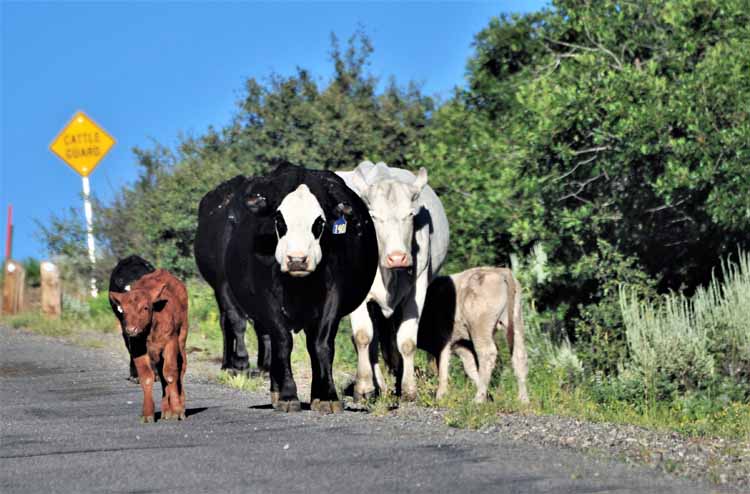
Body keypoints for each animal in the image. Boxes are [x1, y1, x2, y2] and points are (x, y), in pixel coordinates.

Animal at [109, 268, 189, 422]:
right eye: (124, 310)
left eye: (145, 308)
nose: (131, 329)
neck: (150, 330)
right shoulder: (137, 349)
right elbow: (146, 378)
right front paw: (147, 414)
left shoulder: (171, 344)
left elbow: (171, 374)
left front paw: (177, 410)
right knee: (162, 377)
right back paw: (166, 411)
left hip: (181, 341)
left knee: (180, 370)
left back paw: (180, 407)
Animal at [194, 176, 274, 372]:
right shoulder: (224, 286)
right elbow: (237, 321)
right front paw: (241, 359)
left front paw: (267, 362)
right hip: (217, 288)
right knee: (225, 322)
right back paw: (227, 362)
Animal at [338, 162, 450, 402]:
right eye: (373, 216)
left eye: (409, 214)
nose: (397, 257)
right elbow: (363, 336)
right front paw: (364, 388)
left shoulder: (417, 288)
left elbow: (406, 341)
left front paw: (408, 388)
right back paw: (377, 385)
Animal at [420, 268, 532, 404]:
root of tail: (500, 271)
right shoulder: (459, 344)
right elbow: (470, 366)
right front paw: (489, 396)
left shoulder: (443, 340)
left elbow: (442, 365)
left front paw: (440, 395)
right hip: (516, 321)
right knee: (519, 356)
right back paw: (523, 399)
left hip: (480, 328)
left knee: (487, 353)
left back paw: (478, 399)